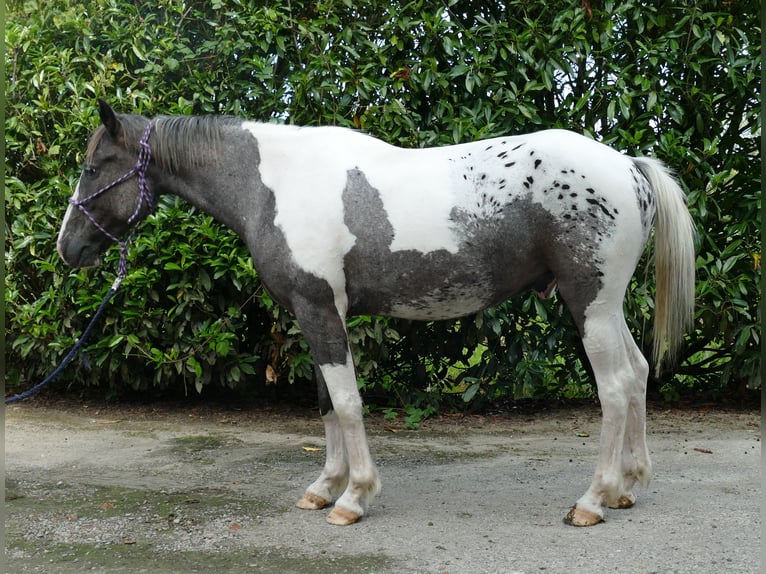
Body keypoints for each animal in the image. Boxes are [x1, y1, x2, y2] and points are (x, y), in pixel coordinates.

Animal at [57, 101, 700, 528]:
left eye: (93, 168)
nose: (67, 249)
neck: (275, 183)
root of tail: (628, 167)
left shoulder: (319, 308)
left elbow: (346, 402)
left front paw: (354, 497)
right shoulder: (315, 313)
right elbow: (325, 402)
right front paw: (324, 487)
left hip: (588, 304)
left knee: (614, 388)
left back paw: (593, 500)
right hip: (604, 307)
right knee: (638, 375)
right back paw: (627, 488)